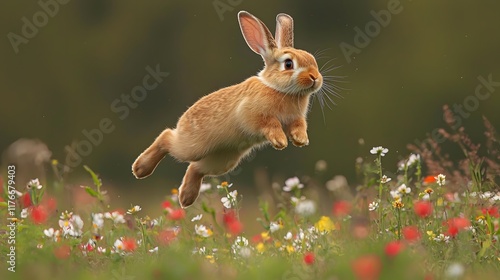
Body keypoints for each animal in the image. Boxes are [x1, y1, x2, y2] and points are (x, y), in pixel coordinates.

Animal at [131, 10, 322, 208]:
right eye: (288, 64)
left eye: (312, 60)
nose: (315, 77)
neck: (278, 88)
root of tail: (183, 122)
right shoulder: (254, 114)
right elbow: (270, 124)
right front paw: (280, 141)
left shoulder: (295, 119)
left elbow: (298, 126)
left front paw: (301, 140)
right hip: (192, 146)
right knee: (167, 137)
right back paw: (140, 169)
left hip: (223, 159)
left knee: (196, 168)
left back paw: (185, 198)